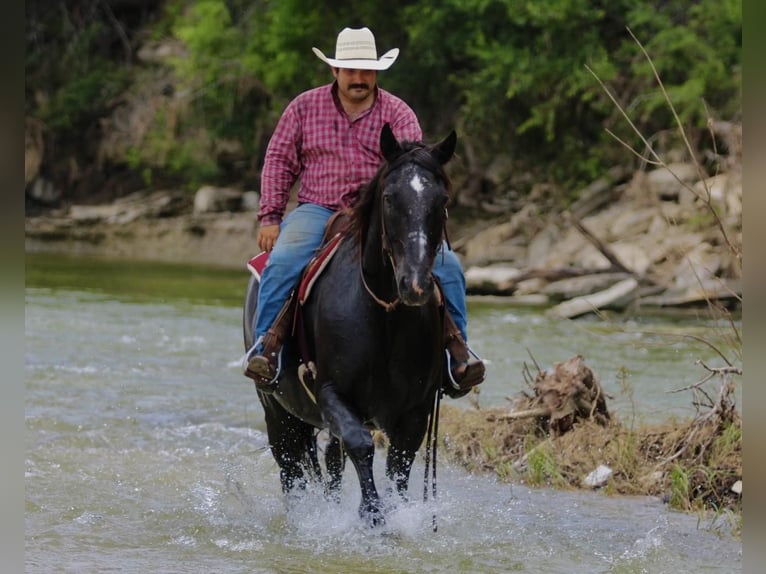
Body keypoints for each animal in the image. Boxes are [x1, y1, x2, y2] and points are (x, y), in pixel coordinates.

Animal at [243, 123, 457, 524]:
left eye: (441, 199)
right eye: (389, 198)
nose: (415, 284)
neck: (383, 314)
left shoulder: (416, 410)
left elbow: (399, 466)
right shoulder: (332, 394)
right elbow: (360, 445)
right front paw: (372, 515)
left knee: (329, 462)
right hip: (276, 410)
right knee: (291, 468)